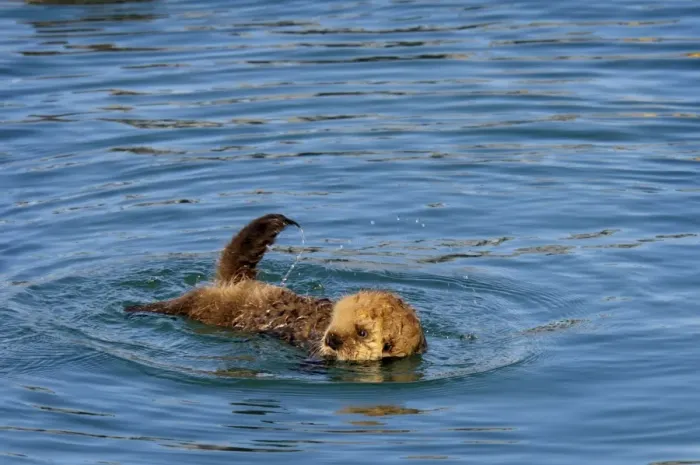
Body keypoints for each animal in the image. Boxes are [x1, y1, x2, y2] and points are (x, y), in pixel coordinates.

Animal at [125, 214, 427, 362]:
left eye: (362, 332)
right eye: (337, 315)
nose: (332, 338)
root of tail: (235, 282)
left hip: (207, 304)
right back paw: (137, 307)